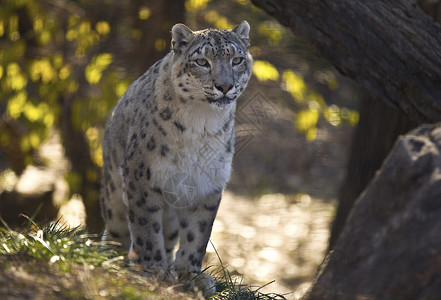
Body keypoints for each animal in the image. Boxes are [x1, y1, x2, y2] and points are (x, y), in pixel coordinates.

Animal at [99, 21, 251, 296]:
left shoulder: (208, 184)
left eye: (237, 60)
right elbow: (146, 228)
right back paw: (115, 258)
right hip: (114, 191)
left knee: (169, 235)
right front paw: (155, 269)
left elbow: (197, 234)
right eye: (202, 61)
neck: (202, 123)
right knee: (117, 229)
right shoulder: (142, 177)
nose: (225, 86)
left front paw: (190, 275)